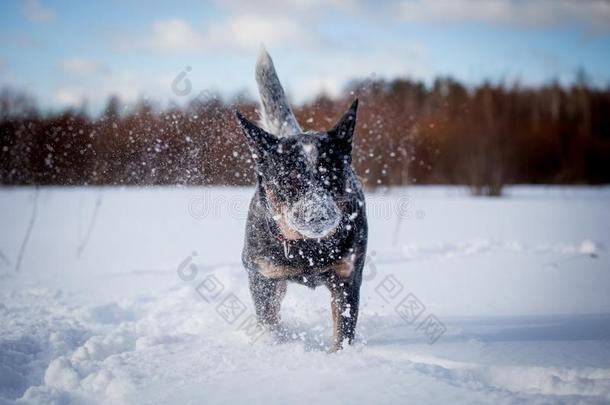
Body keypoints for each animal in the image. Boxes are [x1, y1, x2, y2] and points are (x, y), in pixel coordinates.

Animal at [233, 47, 366, 350]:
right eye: (289, 179)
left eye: (332, 176)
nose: (318, 214)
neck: (308, 251)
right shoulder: (264, 277)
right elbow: (268, 322)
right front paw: (274, 345)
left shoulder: (347, 277)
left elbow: (343, 331)